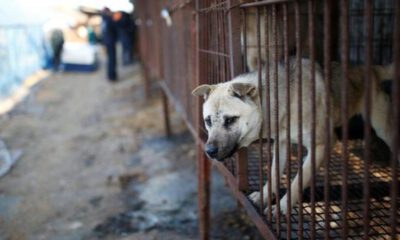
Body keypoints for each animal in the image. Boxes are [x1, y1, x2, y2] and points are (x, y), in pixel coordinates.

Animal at [194, 59, 394, 215]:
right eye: (208, 121)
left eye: (230, 120)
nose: (209, 151)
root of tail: (369, 68)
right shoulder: (281, 143)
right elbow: (274, 173)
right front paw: (265, 195)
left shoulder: (322, 144)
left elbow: (298, 181)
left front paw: (283, 207)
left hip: (384, 129)